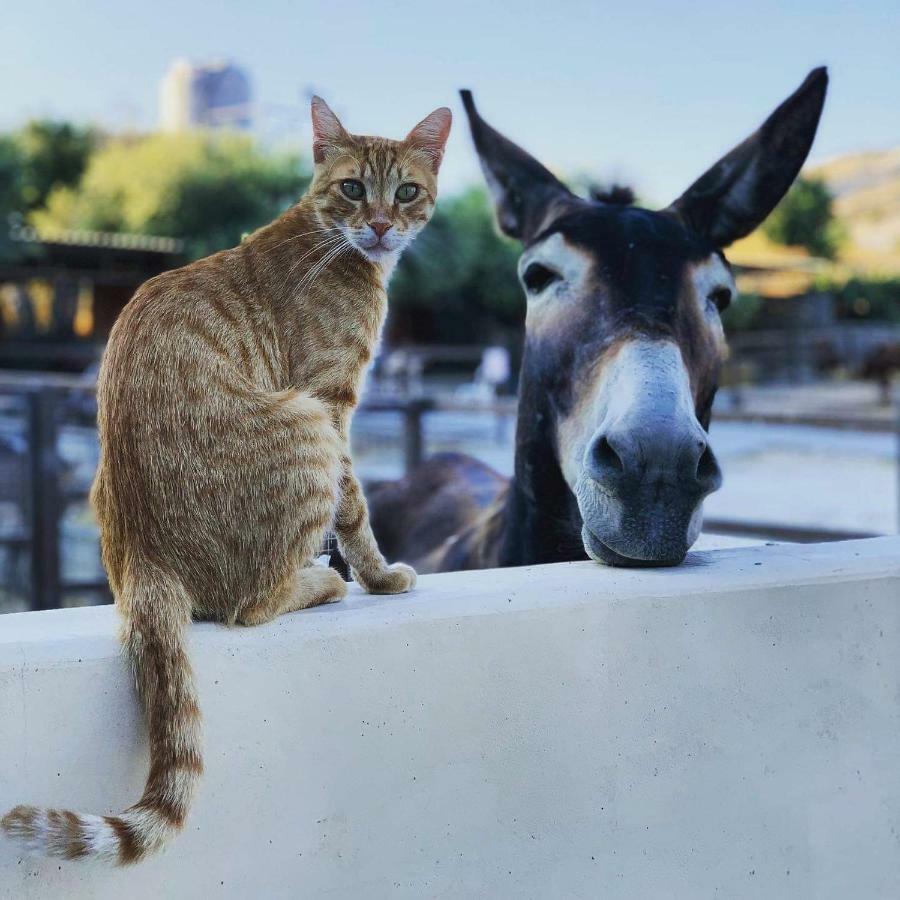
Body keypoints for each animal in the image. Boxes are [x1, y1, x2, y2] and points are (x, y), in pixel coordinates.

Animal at [0, 95, 450, 860]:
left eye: (407, 191)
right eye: (354, 188)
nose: (382, 224)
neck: (331, 243)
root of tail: (142, 557)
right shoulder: (330, 403)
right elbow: (356, 512)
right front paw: (380, 576)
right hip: (305, 428)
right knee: (251, 605)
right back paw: (321, 581)